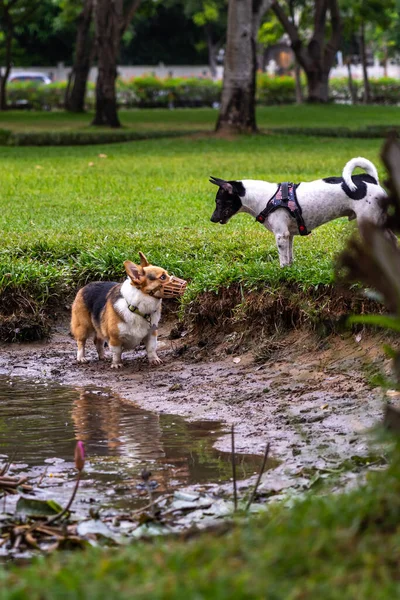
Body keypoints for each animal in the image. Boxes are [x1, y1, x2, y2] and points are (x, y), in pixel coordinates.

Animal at [211, 157, 390, 268]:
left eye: (218, 202)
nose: (212, 219)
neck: (265, 197)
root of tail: (370, 179)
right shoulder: (289, 235)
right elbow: (289, 256)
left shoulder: (281, 235)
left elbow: (282, 258)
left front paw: (282, 271)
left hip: (368, 223)